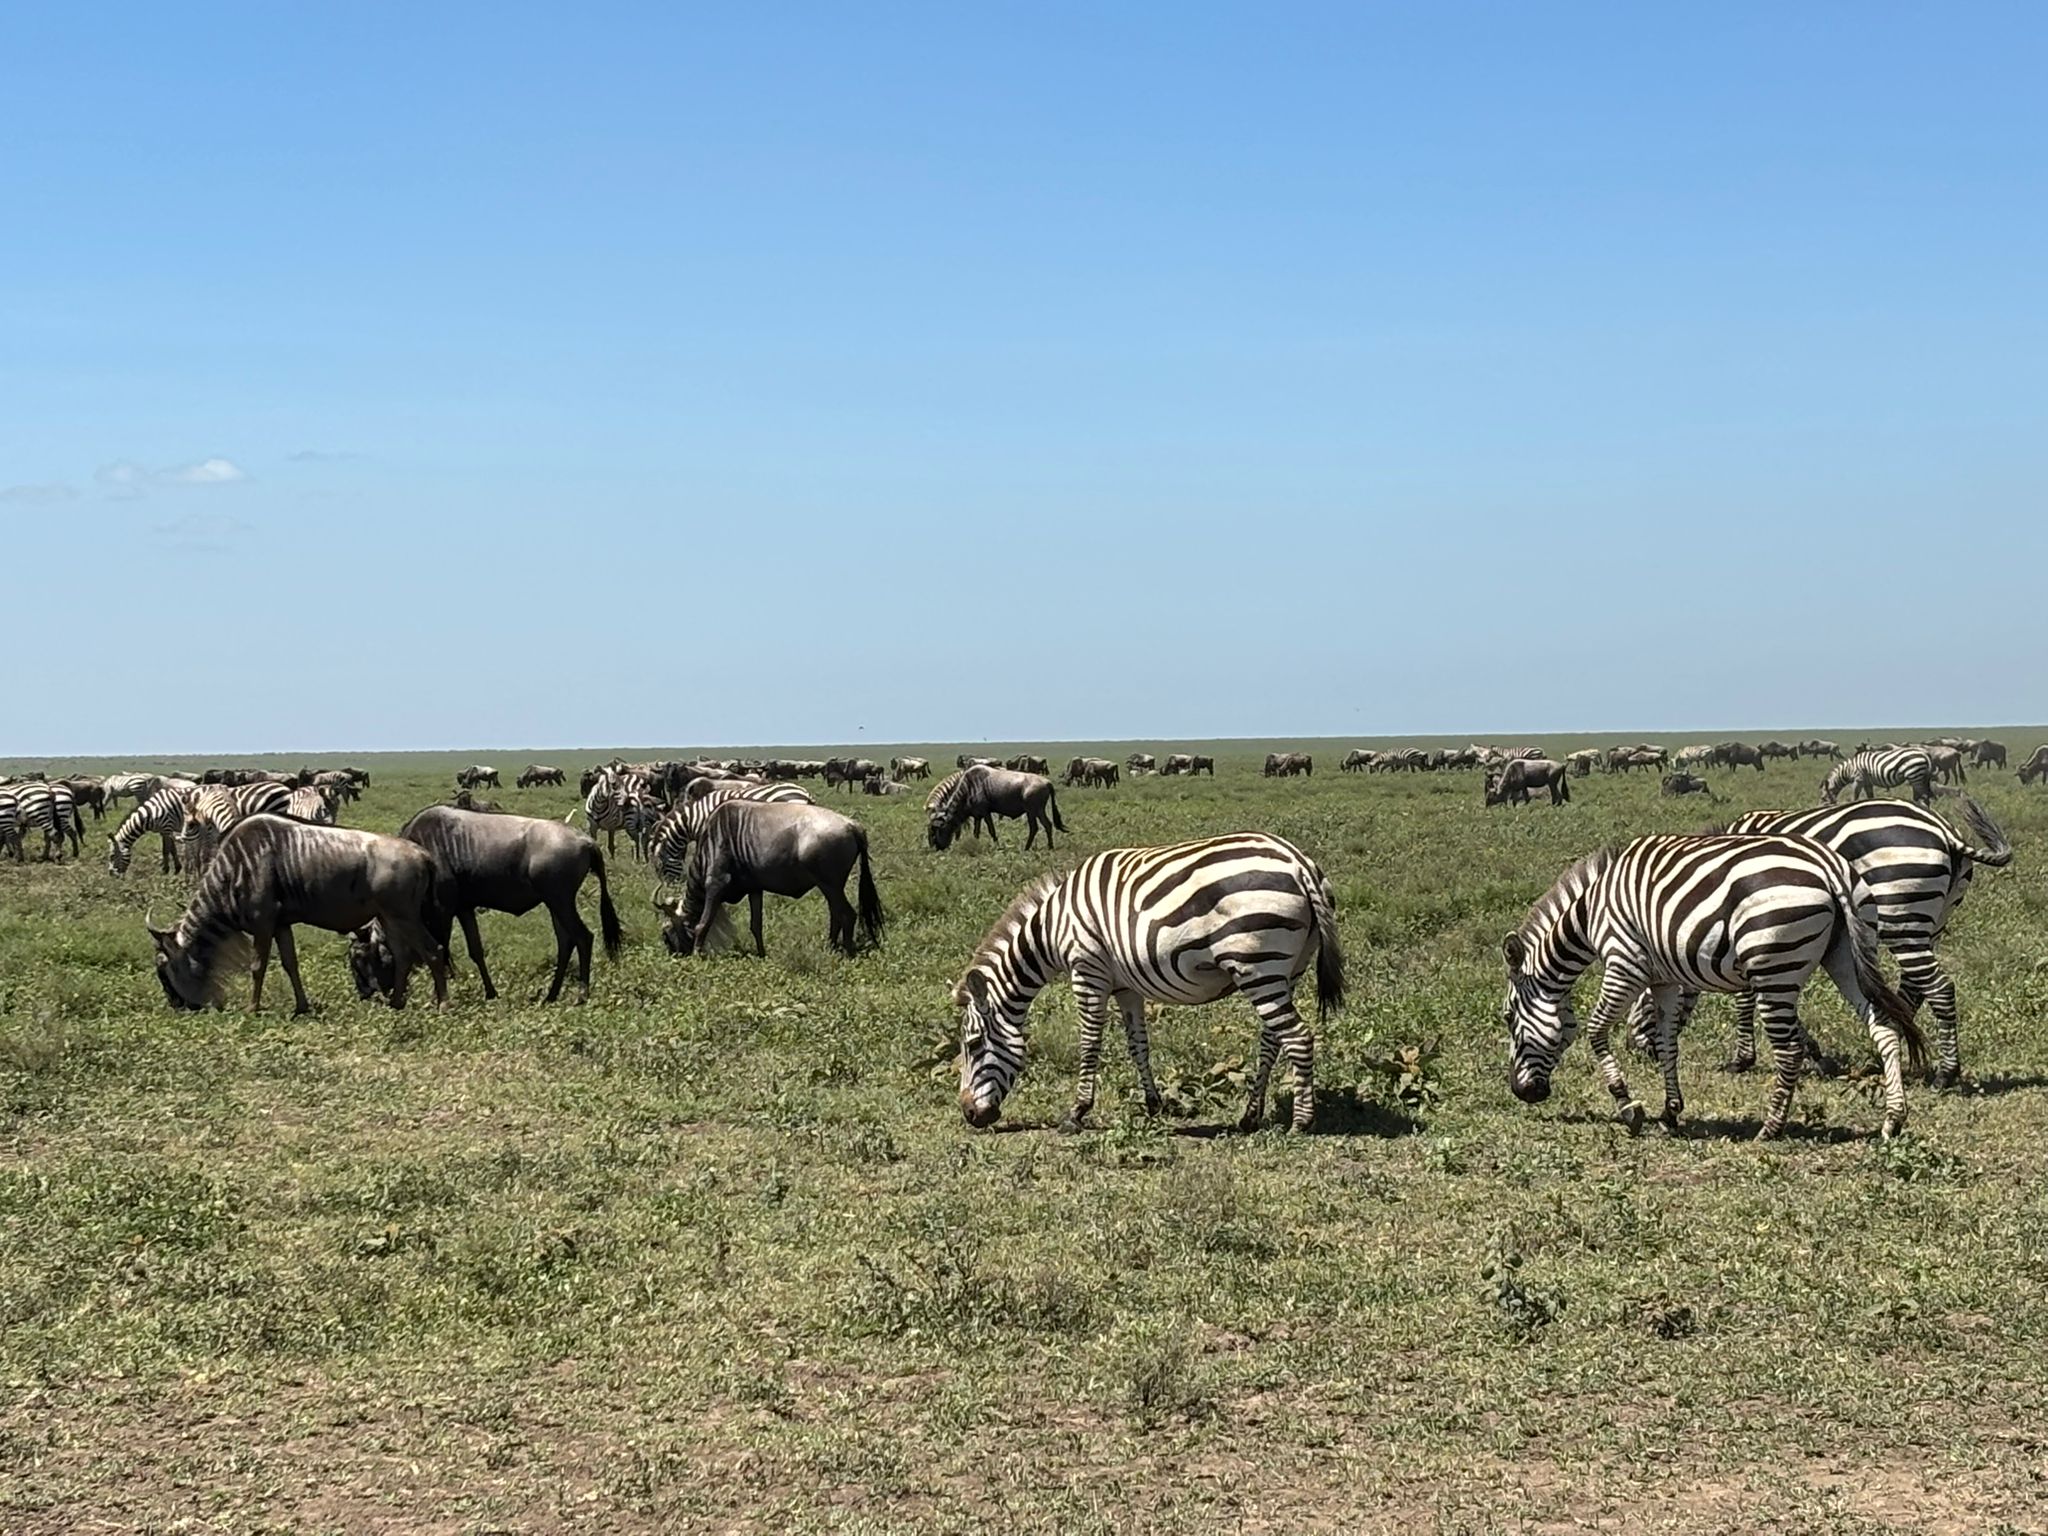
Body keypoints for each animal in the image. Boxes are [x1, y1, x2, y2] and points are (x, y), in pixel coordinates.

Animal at [954, 835, 1351, 1138]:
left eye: (973, 1046)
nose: (969, 1115)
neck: (1050, 930)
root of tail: (1298, 862)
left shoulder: (1088, 970)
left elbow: (1089, 1043)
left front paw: (1076, 1112)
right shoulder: (1125, 986)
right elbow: (1138, 1046)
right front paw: (1154, 1104)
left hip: (1257, 965)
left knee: (1298, 1037)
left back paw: (1301, 1122)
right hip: (1286, 969)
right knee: (1273, 1038)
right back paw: (1250, 1116)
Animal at [1499, 835, 1925, 1138]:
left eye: (1508, 1017)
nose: (1521, 1092)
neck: (1590, 915)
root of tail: (1830, 865)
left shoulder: (1624, 964)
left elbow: (1596, 1031)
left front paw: (1628, 1106)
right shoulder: (1664, 980)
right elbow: (1667, 1045)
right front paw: (1670, 1112)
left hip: (1774, 969)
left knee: (1789, 1050)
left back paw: (1771, 1128)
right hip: (1846, 956)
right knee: (1883, 1025)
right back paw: (1894, 1118)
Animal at [1638, 798, 2007, 1089]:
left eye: (1645, 1001)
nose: (1643, 1052)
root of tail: (1943, 830)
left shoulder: (1751, 928)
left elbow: (1745, 999)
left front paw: (1743, 1059)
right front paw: (1813, 1053)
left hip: (1901, 916)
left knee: (1939, 988)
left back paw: (1946, 1073)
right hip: (1930, 922)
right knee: (1912, 989)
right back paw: (1888, 1054)